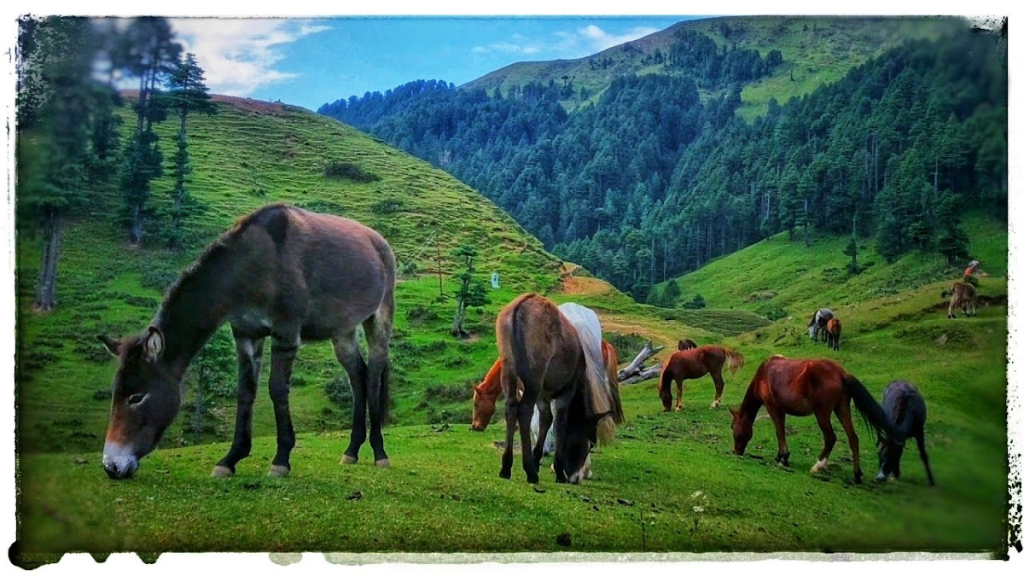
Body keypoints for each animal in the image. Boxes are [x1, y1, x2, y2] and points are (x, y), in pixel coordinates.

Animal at [97, 203, 395, 477]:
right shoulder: (246, 335)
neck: (248, 267)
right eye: (115, 393)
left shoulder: (286, 334)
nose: (111, 466)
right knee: (357, 377)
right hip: (342, 331)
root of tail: (378, 241)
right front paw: (230, 459)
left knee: (373, 376)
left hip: (379, 318)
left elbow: (277, 389)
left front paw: (281, 460)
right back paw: (351, 451)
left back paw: (379, 453)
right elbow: (245, 393)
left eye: (136, 397)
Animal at [491, 293, 610, 481]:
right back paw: (529, 472)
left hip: (508, 366)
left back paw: (506, 467)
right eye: (590, 443)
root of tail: (520, 305)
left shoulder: (544, 394)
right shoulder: (568, 388)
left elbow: (546, 419)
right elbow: (560, 422)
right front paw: (558, 471)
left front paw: (537, 459)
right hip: (535, 371)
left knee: (511, 406)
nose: (574, 477)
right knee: (524, 410)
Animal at [729, 356, 897, 481]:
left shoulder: (773, 407)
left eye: (732, 427)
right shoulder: (780, 409)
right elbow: (780, 432)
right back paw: (856, 474)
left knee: (830, 437)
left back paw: (817, 466)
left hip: (822, 413)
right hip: (842, 409)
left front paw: (783, 458)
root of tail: (841, 373)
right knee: (853, 438)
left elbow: (779, 431)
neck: (764, 374)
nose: (736, 452)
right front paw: (780, 456)